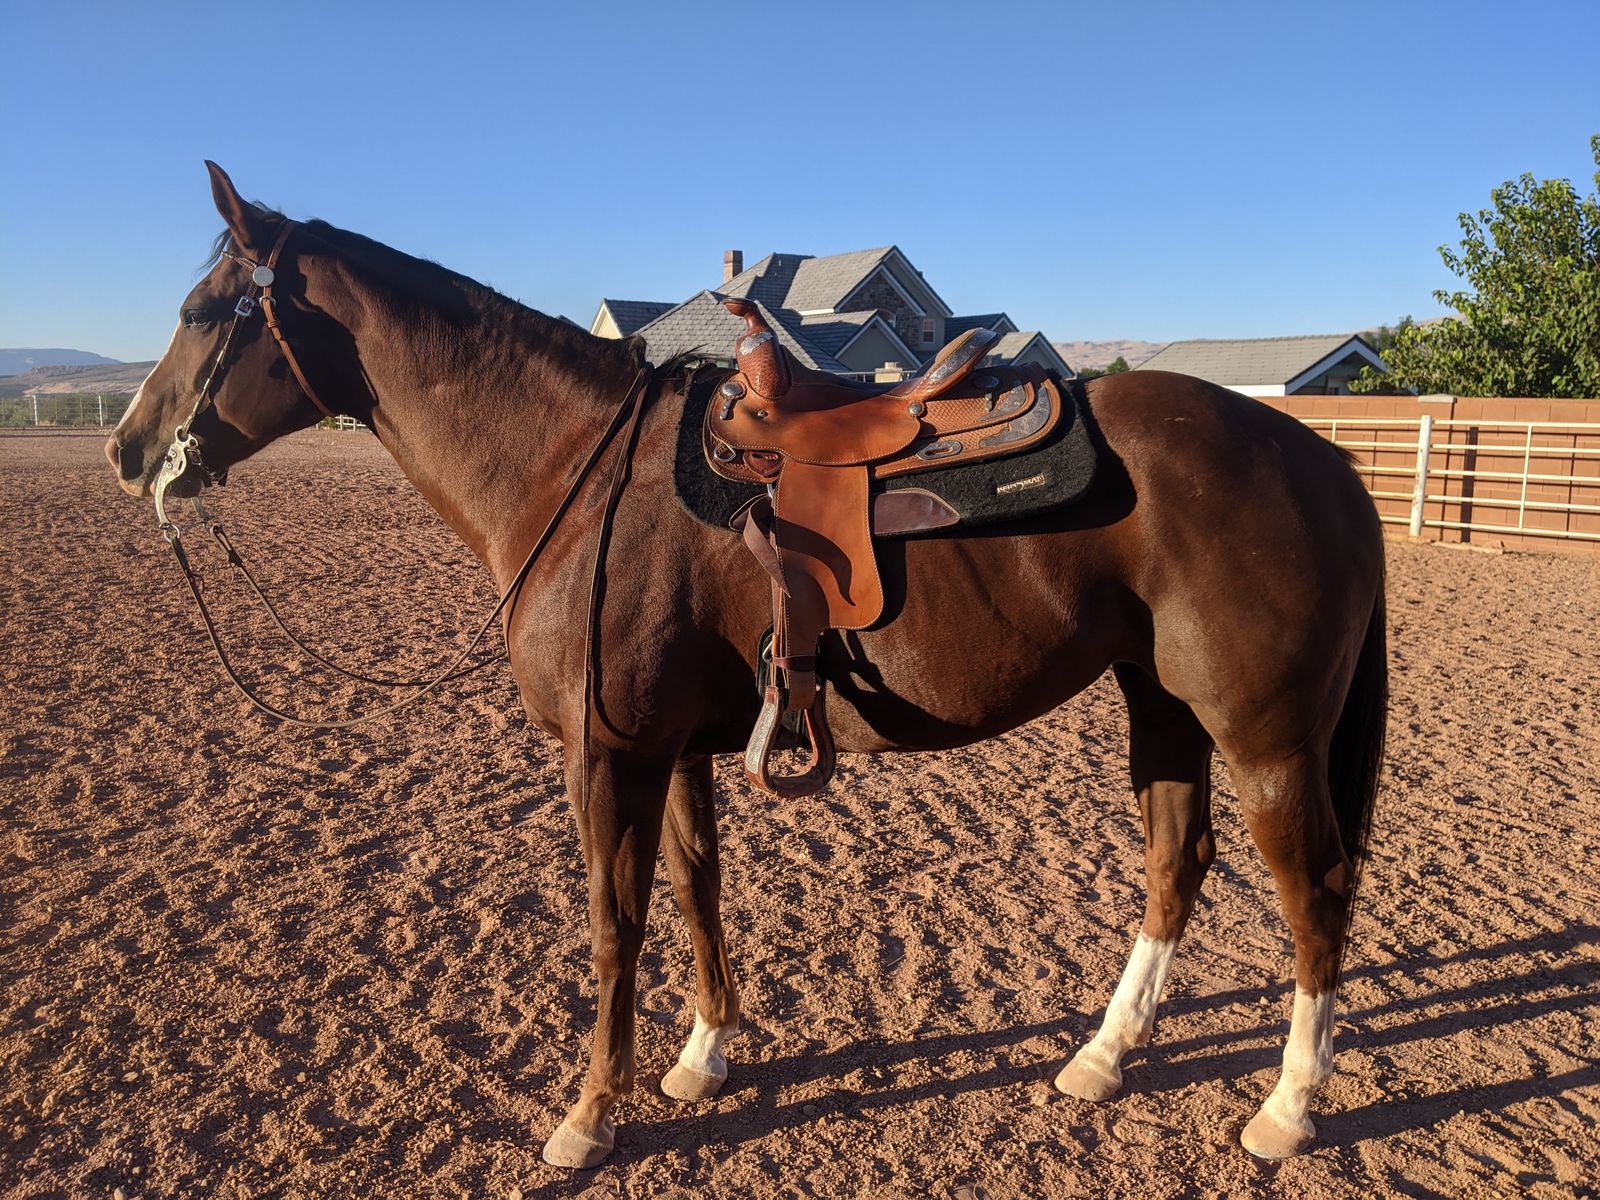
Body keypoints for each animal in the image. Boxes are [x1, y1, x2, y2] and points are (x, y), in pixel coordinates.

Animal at [107, 162, 1387, 1168]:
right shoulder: (671, 750)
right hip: (1162, 707)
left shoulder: (607, 755)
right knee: (1178, 862)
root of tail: (1319, 458)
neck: (575, 472)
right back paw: (1104, 1056)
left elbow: (613, 920)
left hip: (1264, 735)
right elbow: (693, 890)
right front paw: (703, 1058)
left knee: (1313, 886)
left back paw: (1286, 1108)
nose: (127, 449)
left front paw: (589, 1116)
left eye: (202, 310)